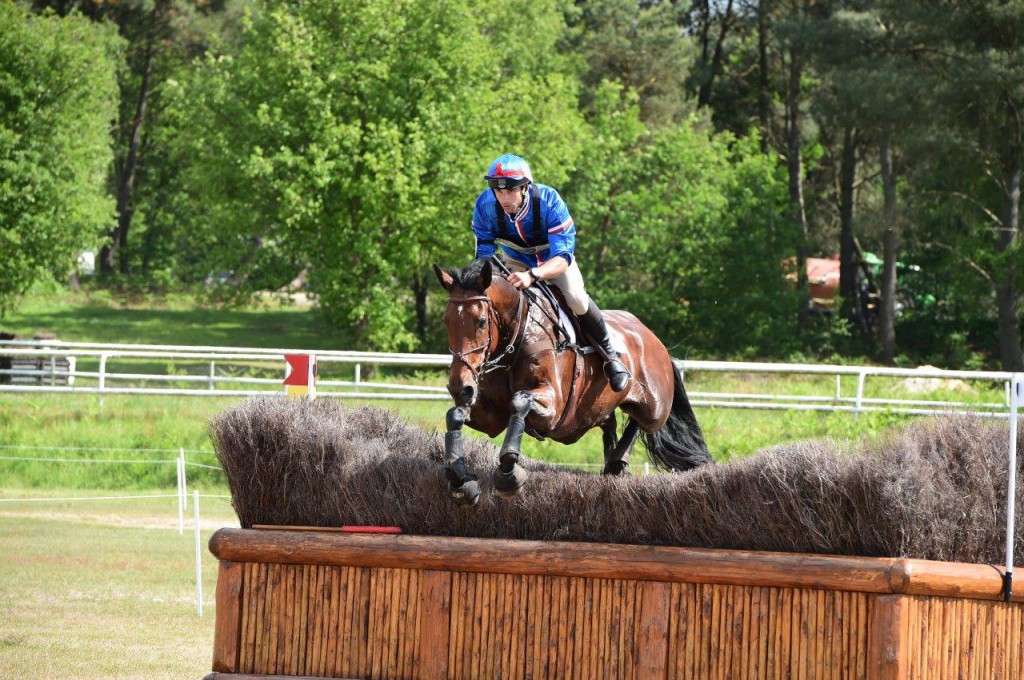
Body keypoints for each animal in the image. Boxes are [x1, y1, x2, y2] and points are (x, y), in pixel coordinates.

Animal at [432, 259, 712, 503]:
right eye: (446, 321)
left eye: (481, 322)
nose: (460, 387)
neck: (518, 333)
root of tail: (656, 340)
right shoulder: (491, 416)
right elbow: (455, 414)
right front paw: (459, 480)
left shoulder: (552, 410)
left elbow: (519, 401)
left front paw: (508, 475)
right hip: (596, 409)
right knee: (609, 422)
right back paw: (613, 461)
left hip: (655, 406)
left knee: (640, 422)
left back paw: (617, 458)